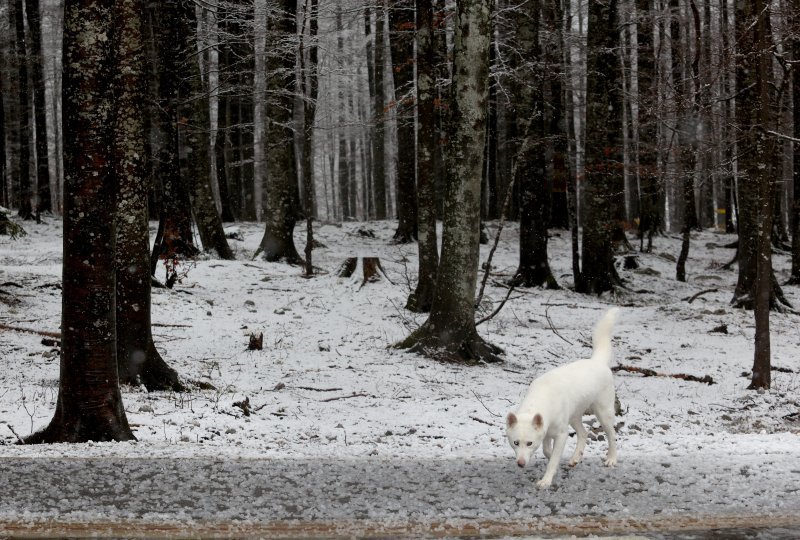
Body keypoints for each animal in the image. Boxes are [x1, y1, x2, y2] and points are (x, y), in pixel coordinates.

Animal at [506, 308, 620, 490]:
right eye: (516, 443)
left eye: (529, 443)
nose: (521, 464)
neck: (541, 398)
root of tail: (597, 361)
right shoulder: (547, 432)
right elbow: (547, 451)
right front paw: (557, 459)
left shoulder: (561, 434)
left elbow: (552, 458)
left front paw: (546, 479)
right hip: (574, 416)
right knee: (584, 433)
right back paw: (575, 458)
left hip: (604, 413)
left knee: (612, 435)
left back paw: (611, 459)